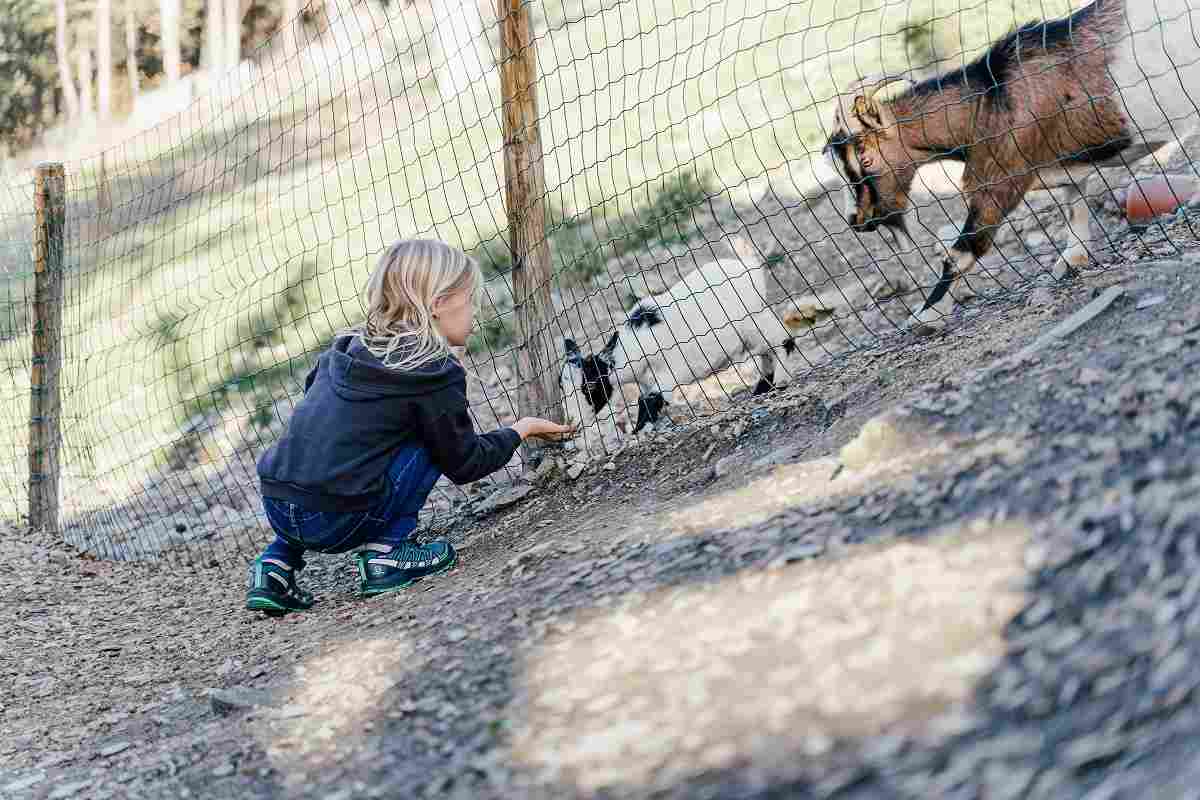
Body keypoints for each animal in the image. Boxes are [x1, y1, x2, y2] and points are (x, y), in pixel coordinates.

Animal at [564, 235, 796, 434]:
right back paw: (763, 388)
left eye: (591, 385)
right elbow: (643, 399)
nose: (574, 424)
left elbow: (651, 400)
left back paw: (780, 381)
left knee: (781, 340)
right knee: (766, 353)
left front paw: (640, 431)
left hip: (753, 320)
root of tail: (749, 267)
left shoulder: (666, 374)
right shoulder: (645, 380)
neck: (633, 345)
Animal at [820, 0, 1185, 314]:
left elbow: (962, 252)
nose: (857, 219)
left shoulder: (999, 178)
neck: (990, 99)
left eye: (866, 159)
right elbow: (1075, 207)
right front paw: (1072, 261)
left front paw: (926, 316)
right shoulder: (1061, 167)